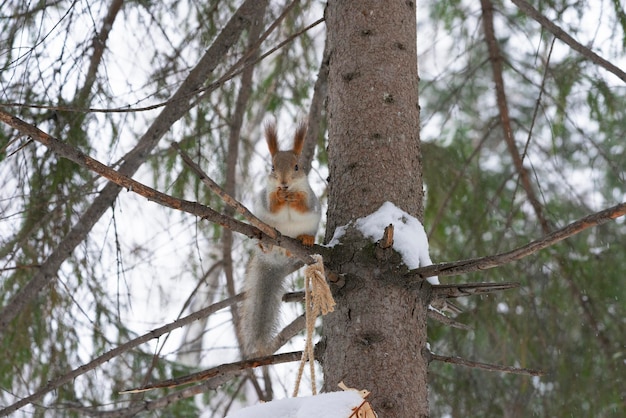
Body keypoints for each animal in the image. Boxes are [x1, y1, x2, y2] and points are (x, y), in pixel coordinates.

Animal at [238, 120, 320, 356]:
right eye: (272, 168)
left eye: (297, 167)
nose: (284, 183)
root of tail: (276, 259)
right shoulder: (264, 200)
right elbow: (272, 203)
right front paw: (280, 196)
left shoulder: (312, 200)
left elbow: (303, 203)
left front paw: (293, 197)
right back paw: (265, 244)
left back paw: (303, 241)